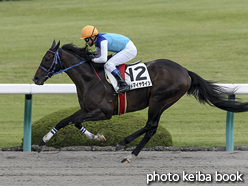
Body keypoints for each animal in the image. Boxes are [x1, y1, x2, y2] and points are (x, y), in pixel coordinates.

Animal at [33, 40, 248, 163]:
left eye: (47, 58)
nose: (36, 79)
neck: (90, 79)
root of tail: (184, 70)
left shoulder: (104, 112)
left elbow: (77, 122)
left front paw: (98, 137)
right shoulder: (86, 109)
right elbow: (63, 121)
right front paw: (43, 142)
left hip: (159, 99)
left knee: (151, 126)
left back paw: (124, 146)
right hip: (162, 102)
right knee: (151, 128)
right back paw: (129, 153)